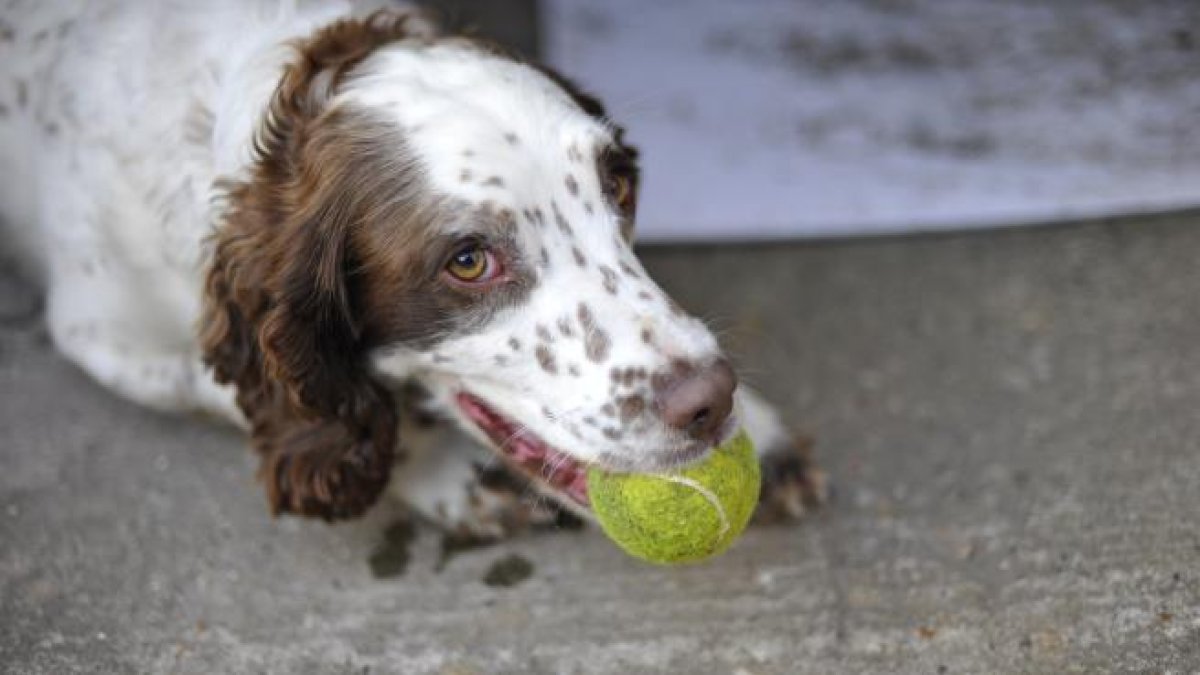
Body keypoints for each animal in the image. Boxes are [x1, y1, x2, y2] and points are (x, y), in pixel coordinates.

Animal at [0, 0, 825, 535]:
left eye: (617, 186)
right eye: (468, 261)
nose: (710, 401)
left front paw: (760, 433)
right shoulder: (103, 333)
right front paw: (443, 469)